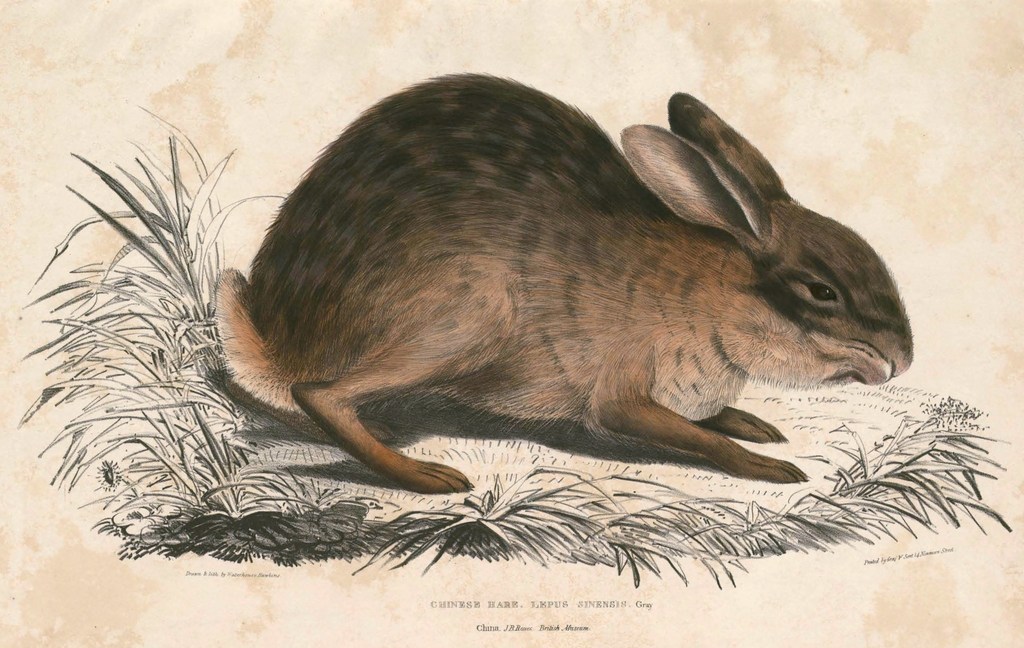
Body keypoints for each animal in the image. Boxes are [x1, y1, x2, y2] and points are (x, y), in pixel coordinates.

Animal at [216, 74, 913, 494]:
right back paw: (424, 476)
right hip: (471, 314)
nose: (903, 360)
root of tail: (278, 339)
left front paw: (754, 424)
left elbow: (714, 418)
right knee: (320, 394)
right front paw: (768, 464)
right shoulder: (622, 391)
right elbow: (688, 433)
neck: (712, 295)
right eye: (822, 291)